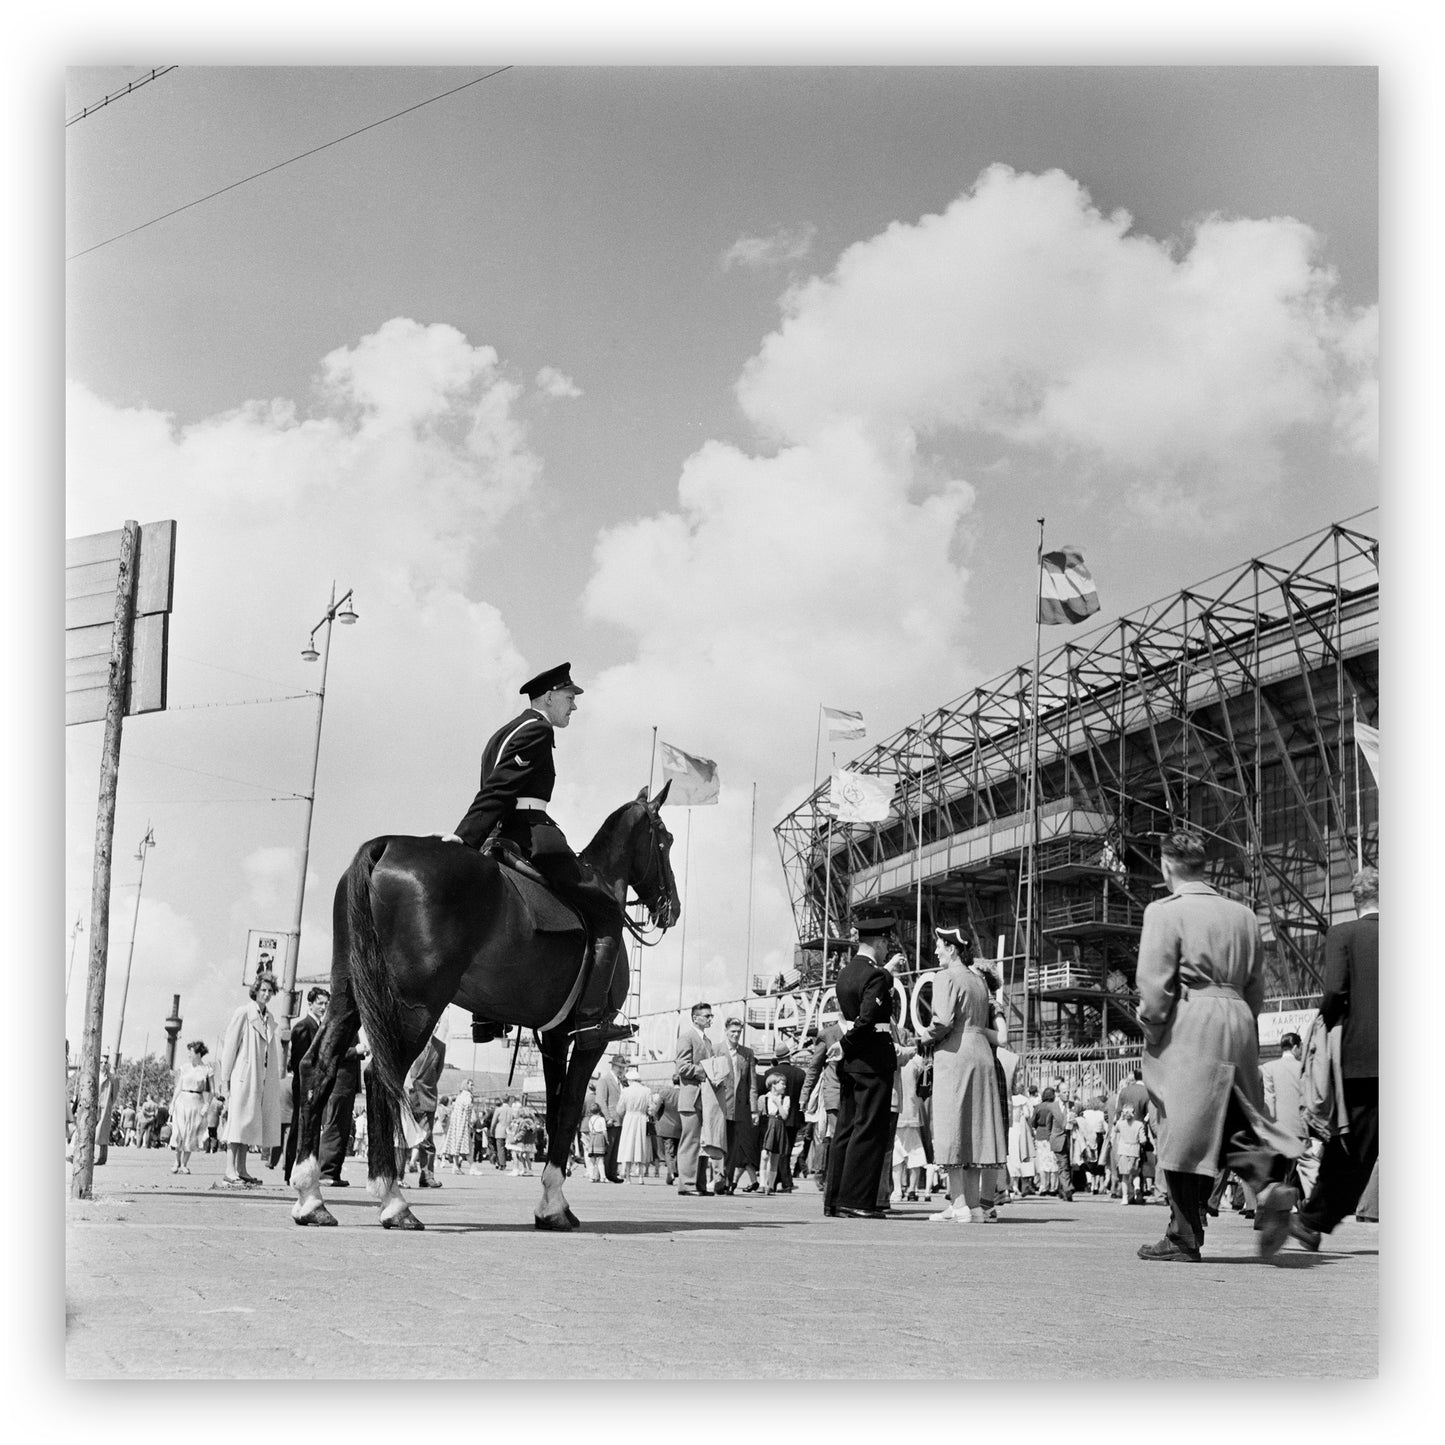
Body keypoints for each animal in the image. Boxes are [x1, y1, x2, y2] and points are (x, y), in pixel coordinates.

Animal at [293, 791, 682, 1231]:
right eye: (666, 840)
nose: (672, 908)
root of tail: (385, 846)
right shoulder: (586, 1040)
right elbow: (568, 1111)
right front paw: (554, 1206)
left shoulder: (553, 1036)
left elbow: (553, 1108)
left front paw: (551, 1204)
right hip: (416, 1004)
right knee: (380, 1075)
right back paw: (393, 1201)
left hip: (350, 993)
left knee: (318, 1065)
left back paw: (311, 1198)